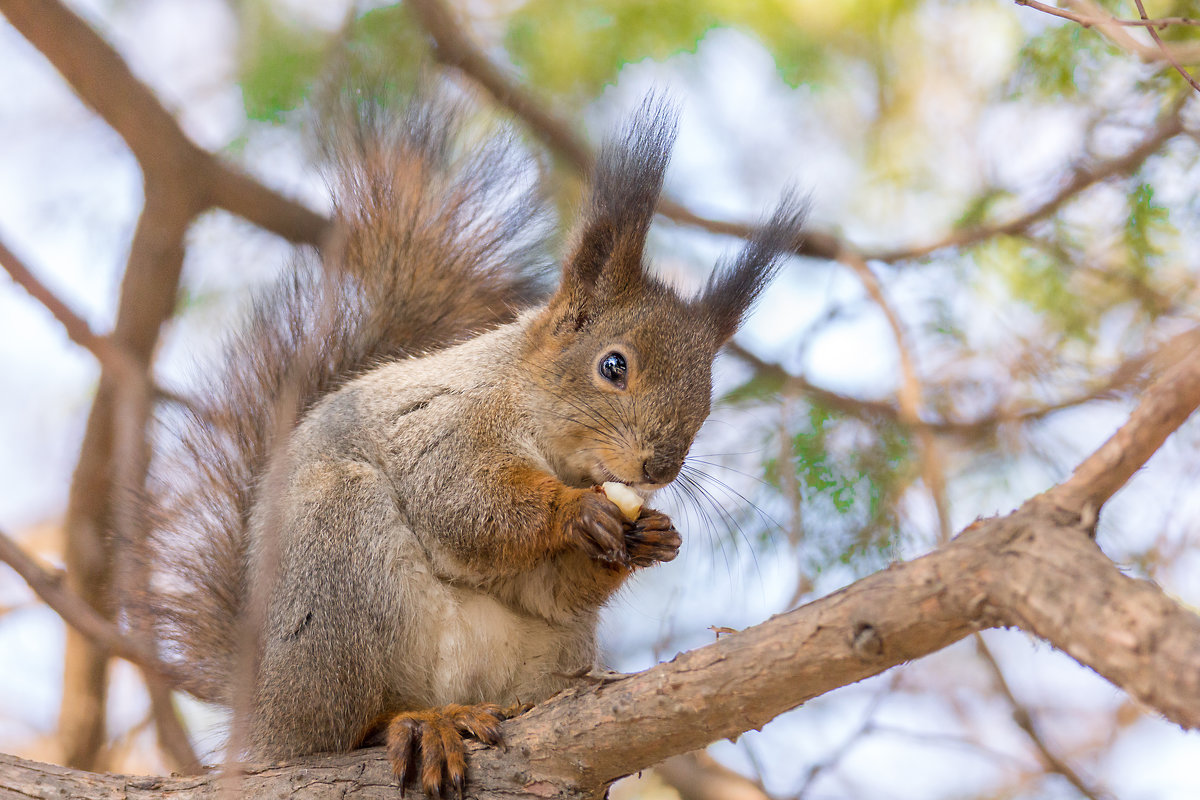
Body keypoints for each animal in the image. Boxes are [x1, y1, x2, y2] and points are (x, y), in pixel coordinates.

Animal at [138, 84, 806, 796]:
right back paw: (415, 724)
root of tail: (261, 718)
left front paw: (653, 536)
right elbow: (467, 502)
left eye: (707, 398)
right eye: (613, 365)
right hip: (338, 568)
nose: (659, 467)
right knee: (349, 726)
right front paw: (576, 512)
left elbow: (549, 588)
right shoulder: (445, 428)